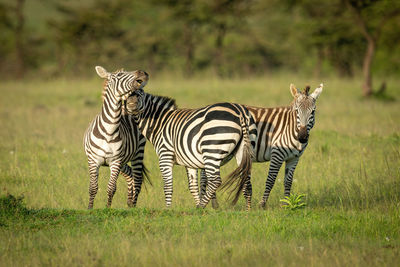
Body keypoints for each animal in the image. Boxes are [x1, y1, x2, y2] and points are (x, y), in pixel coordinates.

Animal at [83, 65, 149, 209]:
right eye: (119, 75)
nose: (143, 72)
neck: (109, 131)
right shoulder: (93, 160)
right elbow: (92, 188)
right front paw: (90, 209)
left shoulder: (115, 162)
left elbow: (111, 188)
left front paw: (107, 209)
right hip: (124, 161)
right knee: (130, 174)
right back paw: (129, 202)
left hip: (138, 153)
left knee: (138, 179)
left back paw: (133, 205)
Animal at [123, 90, 258, 209]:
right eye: (126, 94)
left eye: (140, 94)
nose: (131, 104)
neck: (160, 123)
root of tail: (240, 112)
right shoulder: (190, 161)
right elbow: (193, 187)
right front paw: (198, 207)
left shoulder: (165, 155)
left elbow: (168, 185)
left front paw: (168, 209)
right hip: (244, 151)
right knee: (246, 182)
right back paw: (247, 210)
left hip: (212, 149)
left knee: (215, 181)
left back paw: (201, 207)